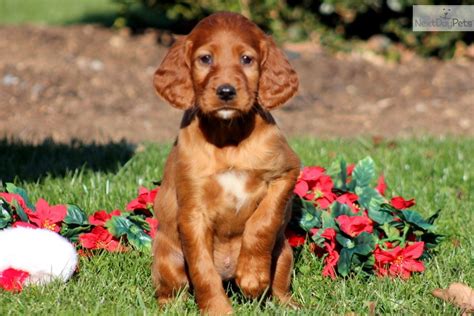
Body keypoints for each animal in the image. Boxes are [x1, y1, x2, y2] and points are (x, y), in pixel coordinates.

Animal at [152, 11, 300, 314]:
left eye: (247, 59)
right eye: (205, 58)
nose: (226, 91)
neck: (229, 136)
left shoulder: (287, 171)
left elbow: (263, 221)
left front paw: (253, 277)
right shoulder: (193, 213)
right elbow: (202, 270)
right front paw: (218, 309)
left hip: (285, 252)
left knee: (280, 283)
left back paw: (287, 303)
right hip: (166, 256)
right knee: (172, 288)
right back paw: (167, 305)